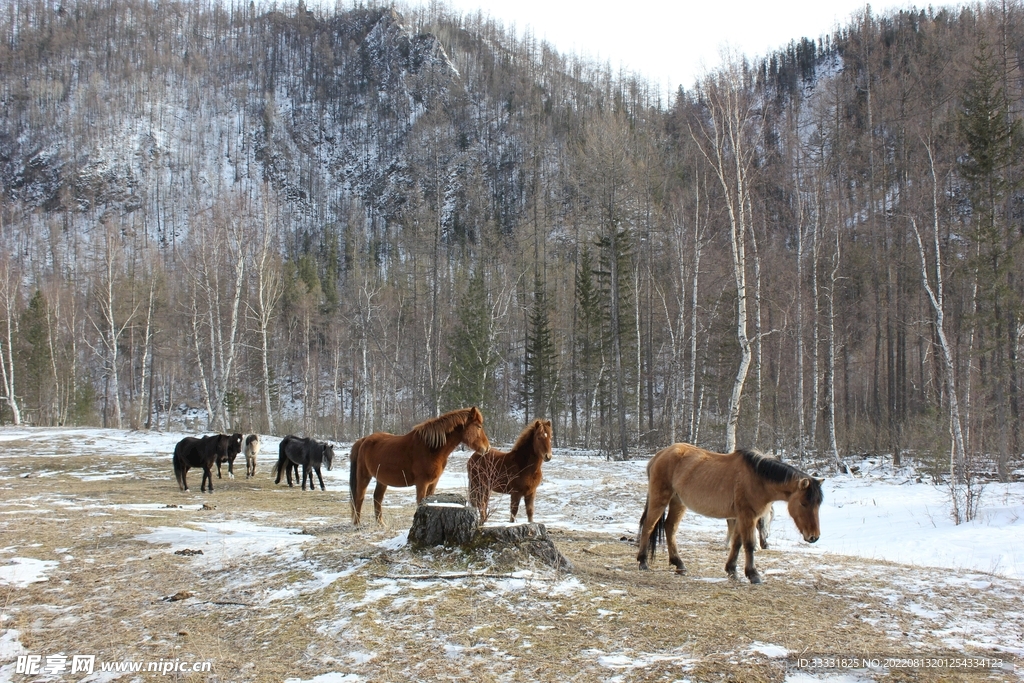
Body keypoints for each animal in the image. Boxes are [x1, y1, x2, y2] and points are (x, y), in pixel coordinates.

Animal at [349, 406, 491, 525]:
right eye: (478, 426)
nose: (487, 448)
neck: (431, 448)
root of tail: (364, 440)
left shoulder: (433, 483)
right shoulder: (422, 483)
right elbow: (420, 503)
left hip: (382, 480)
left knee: (377, 498)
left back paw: (381, 524)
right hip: (364, 476)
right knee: (359, 497)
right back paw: (357, 524)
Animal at [636, 444, 823, 584]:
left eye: (818, 504)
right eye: (803, 503)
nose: (814, 537)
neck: (757, 479)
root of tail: (659, 455)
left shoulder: (741, 517)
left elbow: (737, 543)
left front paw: (732, 570)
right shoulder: (748, 516)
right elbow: (749, 544)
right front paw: (753, 575)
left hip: (678, 502)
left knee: (670, 528)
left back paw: (679, 564)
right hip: (660, 499)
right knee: (648, 526)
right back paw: (643, 561)